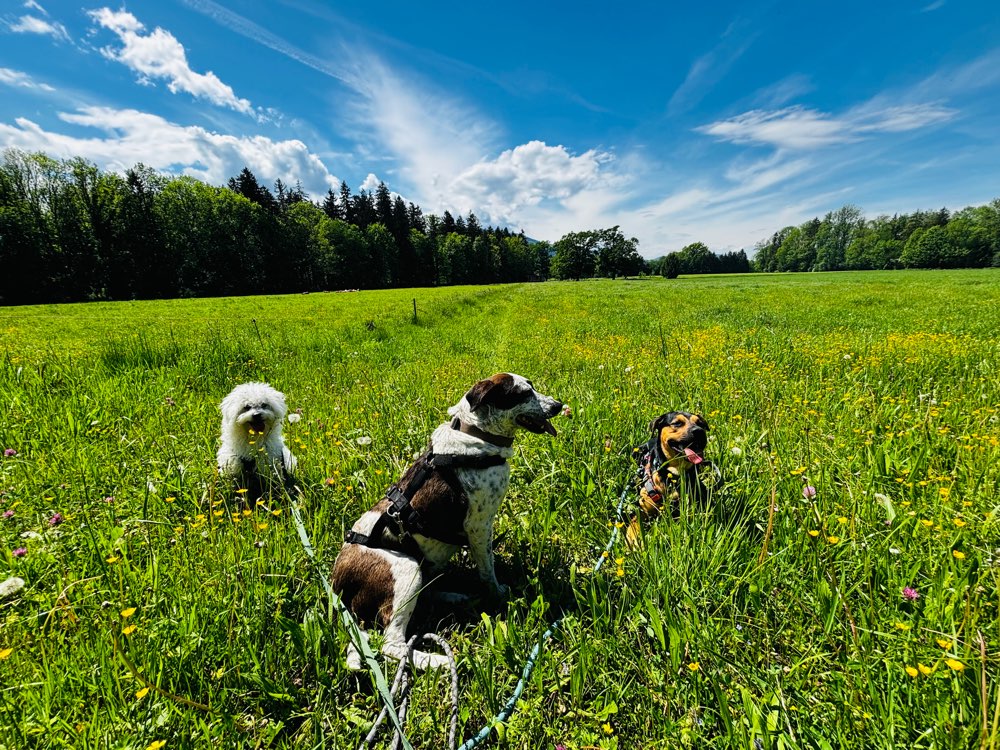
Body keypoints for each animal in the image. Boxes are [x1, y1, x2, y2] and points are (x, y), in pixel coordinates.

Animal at [330, 374, 560, 672]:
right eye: (522, 394)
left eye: (532, 386)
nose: (558, 405)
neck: (474, 433)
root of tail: (337, 587)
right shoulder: (479, 527)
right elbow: (488, 571)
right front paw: (498, 595)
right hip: (407, 569)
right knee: (391, 644)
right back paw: (439, 661)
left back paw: (455, 597)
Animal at [624, 412, 712, 548]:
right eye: (677, 423)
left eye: (700, 423)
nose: (699, 431)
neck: (673, 474)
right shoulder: (642, 509)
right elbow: (633, 522)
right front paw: (633, 539)